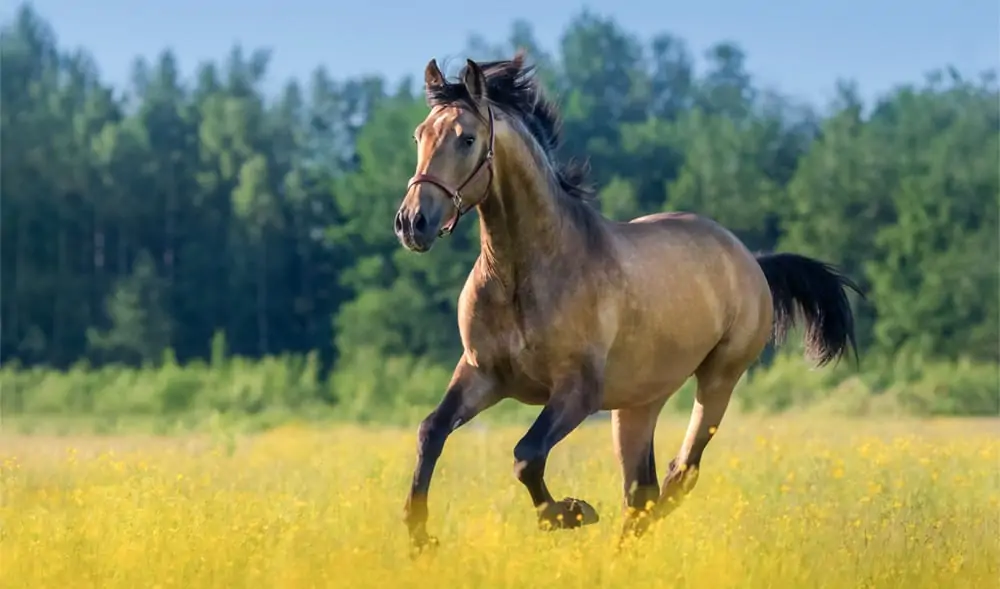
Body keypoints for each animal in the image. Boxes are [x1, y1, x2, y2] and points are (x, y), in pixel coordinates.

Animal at [390, 51, 860, 552]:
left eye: (467, 138)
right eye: (420, 134)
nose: (412, 223)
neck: (523, 273)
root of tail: (750, 260)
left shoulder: (577, 391)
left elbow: (526, 455)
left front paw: (571, 513)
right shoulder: (482, 374)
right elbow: (430, 431)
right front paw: (420, 536)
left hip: (718, 379)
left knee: (679, 474)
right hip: (639, 403)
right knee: (642, 490)